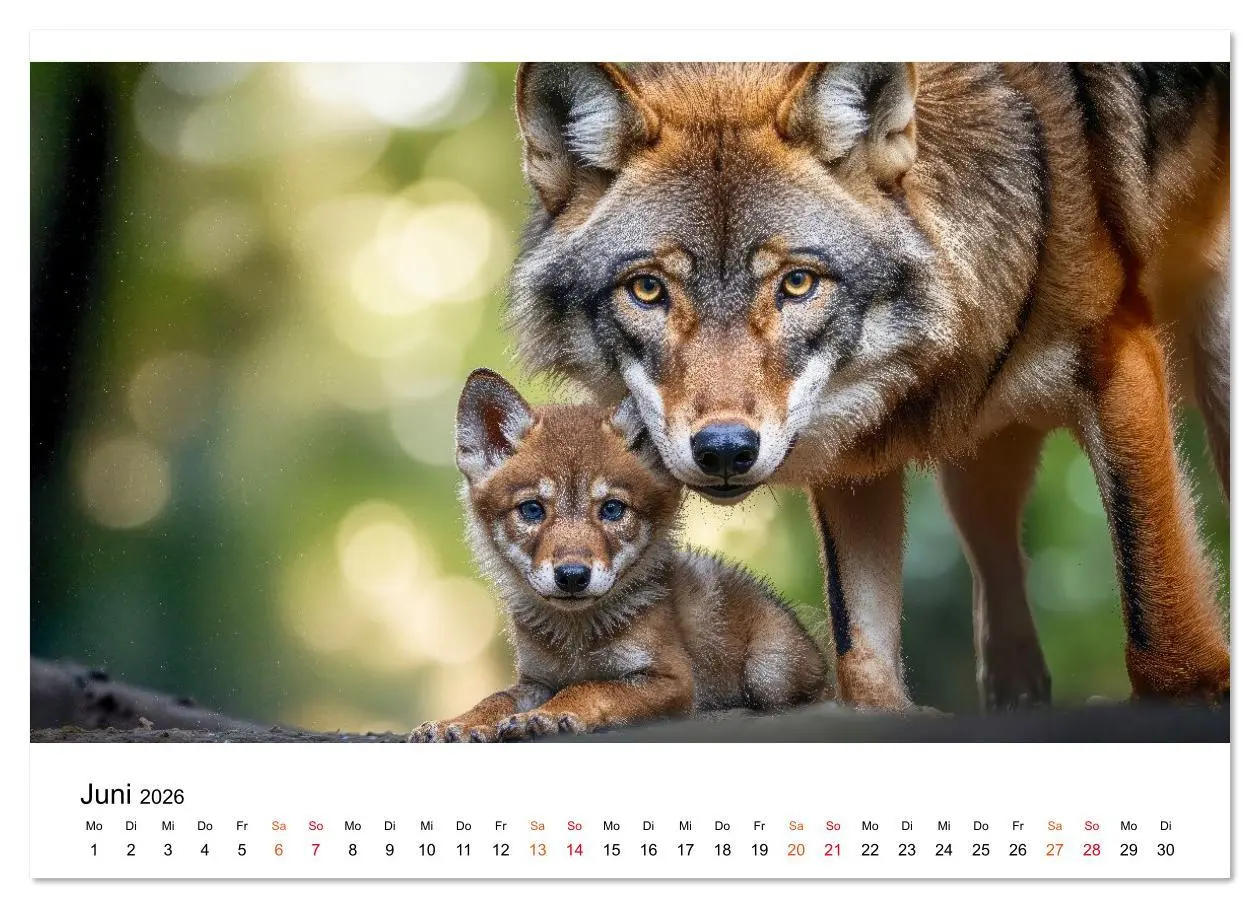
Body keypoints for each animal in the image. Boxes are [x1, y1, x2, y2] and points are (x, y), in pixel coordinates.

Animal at [409, 369, 826, 741]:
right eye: (531, 510)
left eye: (611, 509)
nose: (572, 576)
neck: (576, 641)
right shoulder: (535, 679)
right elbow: (494, 699)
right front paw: (459, 723)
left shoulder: (671, 679)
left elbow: (590, 688)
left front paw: (549, 716)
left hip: (768, 671)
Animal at [507, 62, 1230, 710]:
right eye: (648, 290)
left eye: (797, 282)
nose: (725, 451)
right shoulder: (852, 462)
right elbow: (862, 657)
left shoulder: (1118, 356)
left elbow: (1157, 612)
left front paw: (1191, 687)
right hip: (980, 466)